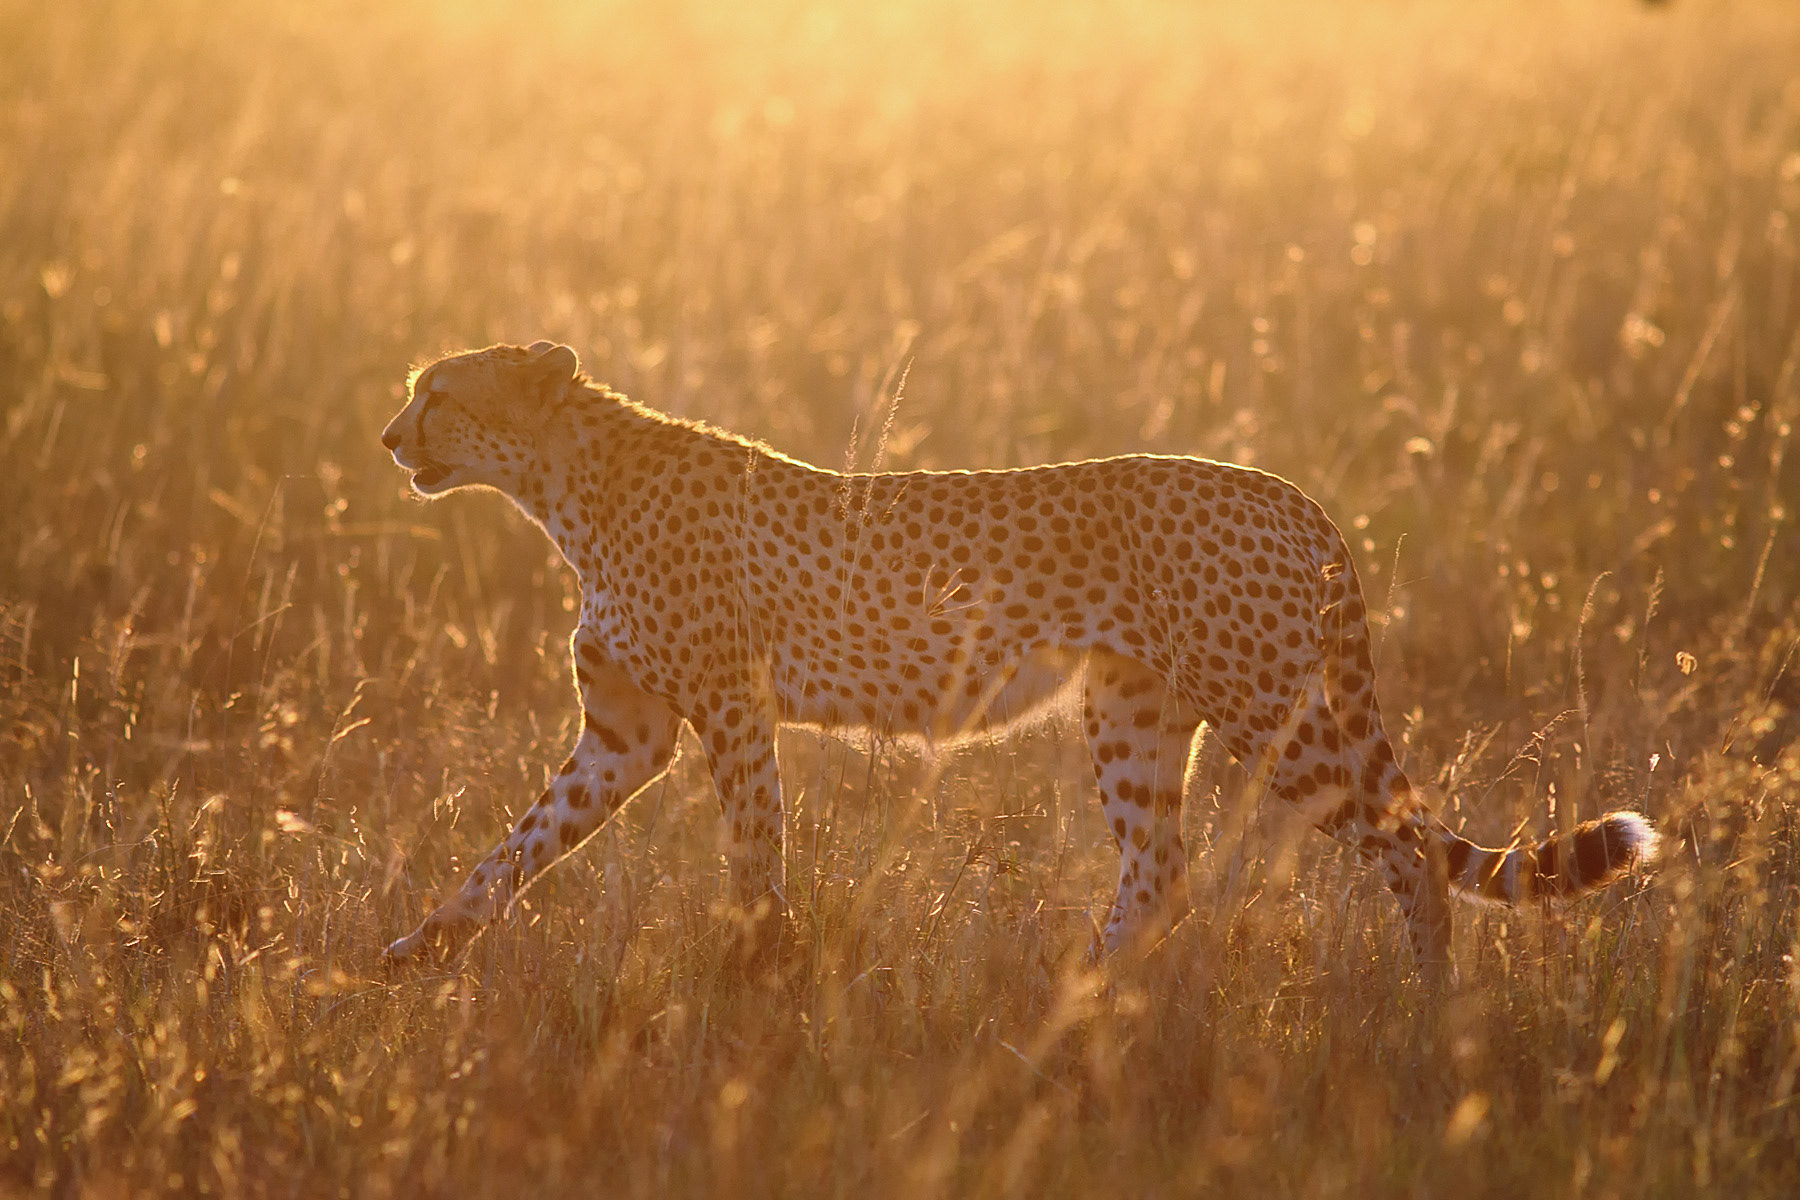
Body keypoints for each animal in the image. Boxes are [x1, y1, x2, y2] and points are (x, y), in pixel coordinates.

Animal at [379, 340, 1657, 977]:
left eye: (438, 394)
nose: (388, 439)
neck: (562, 481)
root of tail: (1283, 487)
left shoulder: (732, 712)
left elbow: (752, 855)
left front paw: (757, 980)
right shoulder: (624, 731)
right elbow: (511, 850)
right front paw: (413, 952)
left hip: (1277, 712)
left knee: (1406, 844)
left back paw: (1429, 1011)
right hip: (1135, 714)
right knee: (1161, 871)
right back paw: (1066, 1004)